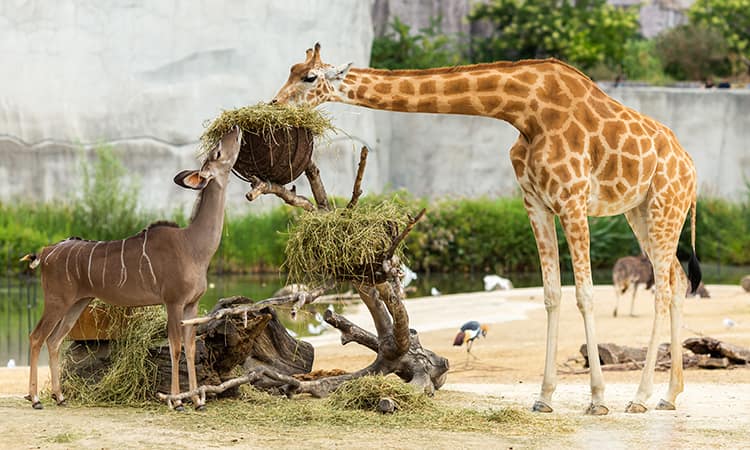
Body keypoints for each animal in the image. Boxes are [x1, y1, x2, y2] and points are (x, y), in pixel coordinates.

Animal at [22, 125, 244, 410]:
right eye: (217, 151)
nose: (236, 129)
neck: (194, 245)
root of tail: (46, 252)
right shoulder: (173, 301)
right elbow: (175, 346)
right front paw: (176, 401)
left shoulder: (191, 304)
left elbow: (191, 347)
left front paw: (197, 401)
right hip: (56, 301)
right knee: (36, 336)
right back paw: (36, 398)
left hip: (77, 303)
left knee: (54, 340)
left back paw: (60, 397)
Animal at [274, 43, 704, 414]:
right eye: (290, 70)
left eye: (309, 77)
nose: (275, 104)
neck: (525, 110)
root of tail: (691, 168)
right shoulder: (535, 202)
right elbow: (551, 294)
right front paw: (544, 396)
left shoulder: (572, 199)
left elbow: (584, 294)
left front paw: (597, 400)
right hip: (641, 212)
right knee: (678, 280)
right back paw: (669, 395)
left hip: (665, 205)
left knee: (663, 288)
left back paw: (640, 396)